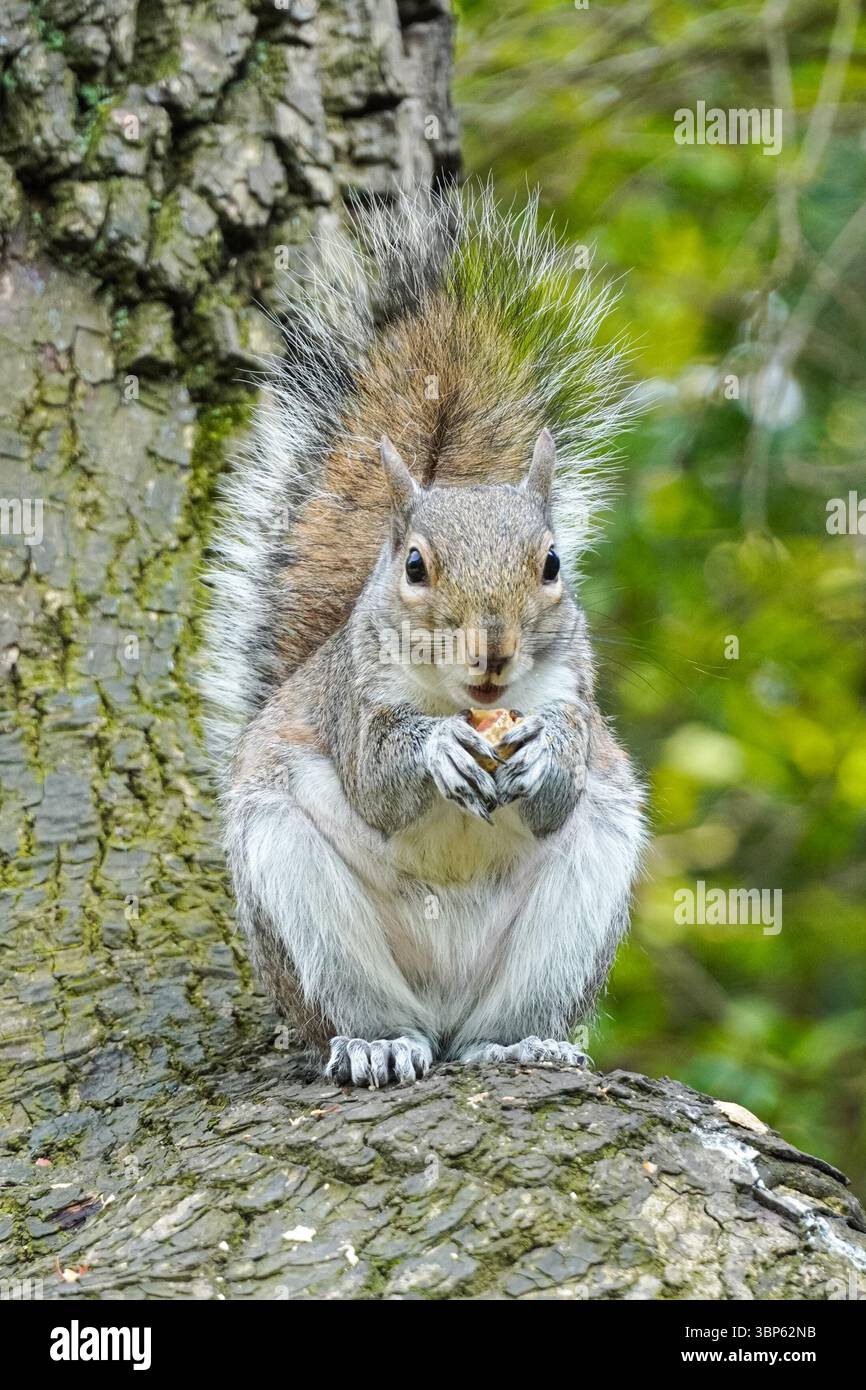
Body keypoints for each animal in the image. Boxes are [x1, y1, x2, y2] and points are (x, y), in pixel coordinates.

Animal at [202, 186, 646, 1087]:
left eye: (553, 563)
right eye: (413, 564)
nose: (494, 651)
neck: (462, 699)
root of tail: (442, 1012)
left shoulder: (572, 693)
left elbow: (562, 779)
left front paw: (542, 754)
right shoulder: (356, 697)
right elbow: (376, 779)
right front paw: (437, 748)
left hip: (586, 893)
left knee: (499, 1023)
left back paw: (520, 1043)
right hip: (292, 881)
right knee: (359, 1010)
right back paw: (375, 1042)